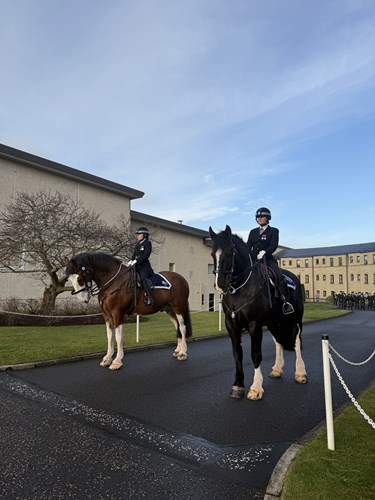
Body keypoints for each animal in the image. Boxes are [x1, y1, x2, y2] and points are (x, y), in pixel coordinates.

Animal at [64, 252, 192, 370]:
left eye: (79, 278)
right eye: (69, 279)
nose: (83, 299)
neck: (113, 282)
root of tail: (181, 278)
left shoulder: (118, 314)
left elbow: (118, 336)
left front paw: (117, 361)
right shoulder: (107, 316)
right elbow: (110, 335)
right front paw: (107, 358)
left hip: (179, 308)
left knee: (182, 327)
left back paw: (183, 353)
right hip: (170, 310)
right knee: (177, 327)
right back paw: (178, 350)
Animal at [209, 225, 308, 400]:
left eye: (229, 253)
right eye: (213, 254)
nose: (220, 284)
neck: (240, 289)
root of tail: (293, 277)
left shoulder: (254, 324)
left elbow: (255, 354)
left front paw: (255, 388)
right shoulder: (231, 324)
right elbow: (237, 354)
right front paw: (238, 385)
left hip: (295, 320)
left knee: (297, 341)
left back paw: (300, 373)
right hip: (274, 322)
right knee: (278, 342)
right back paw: (277, 369)